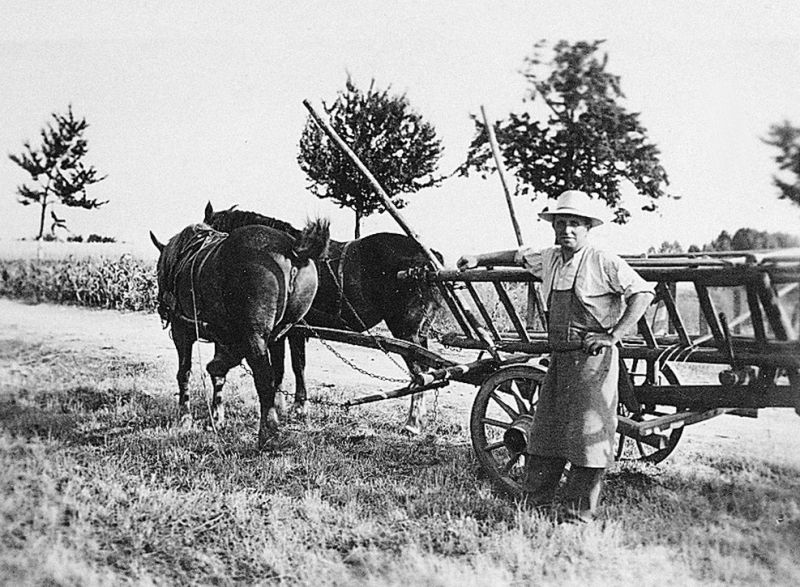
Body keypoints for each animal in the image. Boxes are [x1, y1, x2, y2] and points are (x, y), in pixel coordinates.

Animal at [150, 218, 328, 448]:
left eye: (157, 271)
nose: (162, 307)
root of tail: (292, 251)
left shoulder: (182, 331)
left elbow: (184, 373)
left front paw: (185, 417)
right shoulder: (223, 335)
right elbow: (219, 375)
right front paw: (217, 415)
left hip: (255, 336)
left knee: (264, 376)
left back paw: (268, 432)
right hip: (283, 329)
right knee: (280, 369)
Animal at [205, 204, 444, 434]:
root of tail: (429, 261)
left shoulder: (285, 332)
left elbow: (285, 366)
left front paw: (287, 406)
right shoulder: (292, 331)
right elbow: (295, 365)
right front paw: (295, 405)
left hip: (406, 331)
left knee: (419, 372)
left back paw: (412, 423)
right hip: (419, 332)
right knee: (426, 371)